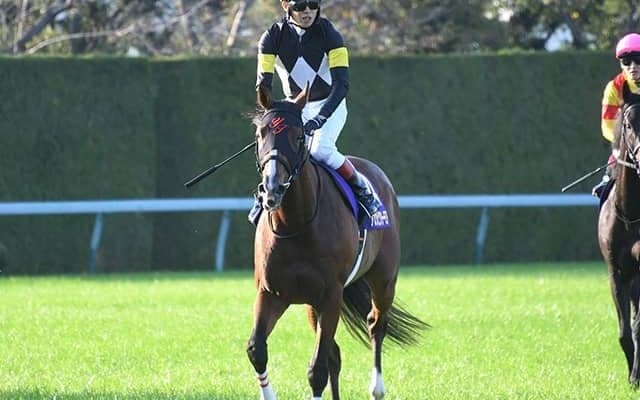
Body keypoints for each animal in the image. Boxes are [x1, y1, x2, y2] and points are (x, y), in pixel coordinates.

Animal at [245, 84, 428, 400]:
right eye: (260, 134)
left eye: (298, 136)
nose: (272, 188)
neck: (296, 224)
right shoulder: (271, 292)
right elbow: (257, 349)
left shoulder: (331, 295)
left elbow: (316, 369)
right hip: (311, 304)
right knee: (336, 354)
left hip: (384, 279)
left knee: (376, 324)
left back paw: (377, 387)